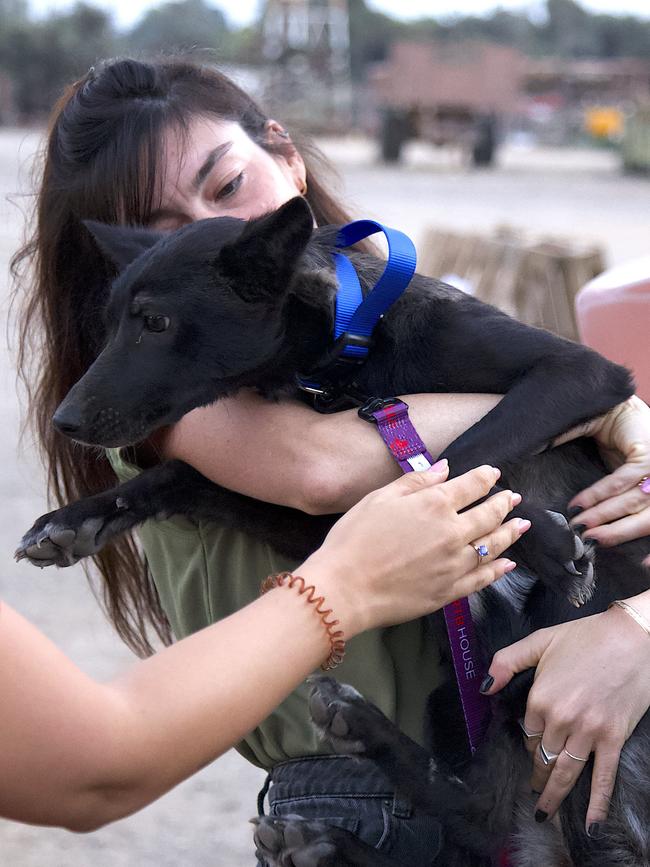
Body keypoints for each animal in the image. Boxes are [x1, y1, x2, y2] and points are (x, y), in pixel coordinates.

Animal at [17, 198, 648, 867]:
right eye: (110, 322)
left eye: (155, 322)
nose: (63, 421)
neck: (348, 362)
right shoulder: (325, 525)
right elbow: (184, 474)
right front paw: (76, 519)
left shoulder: (580, 371)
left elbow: (459, 456)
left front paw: (540, 542)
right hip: (463, 697)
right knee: (483, 816)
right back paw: (332, 810)